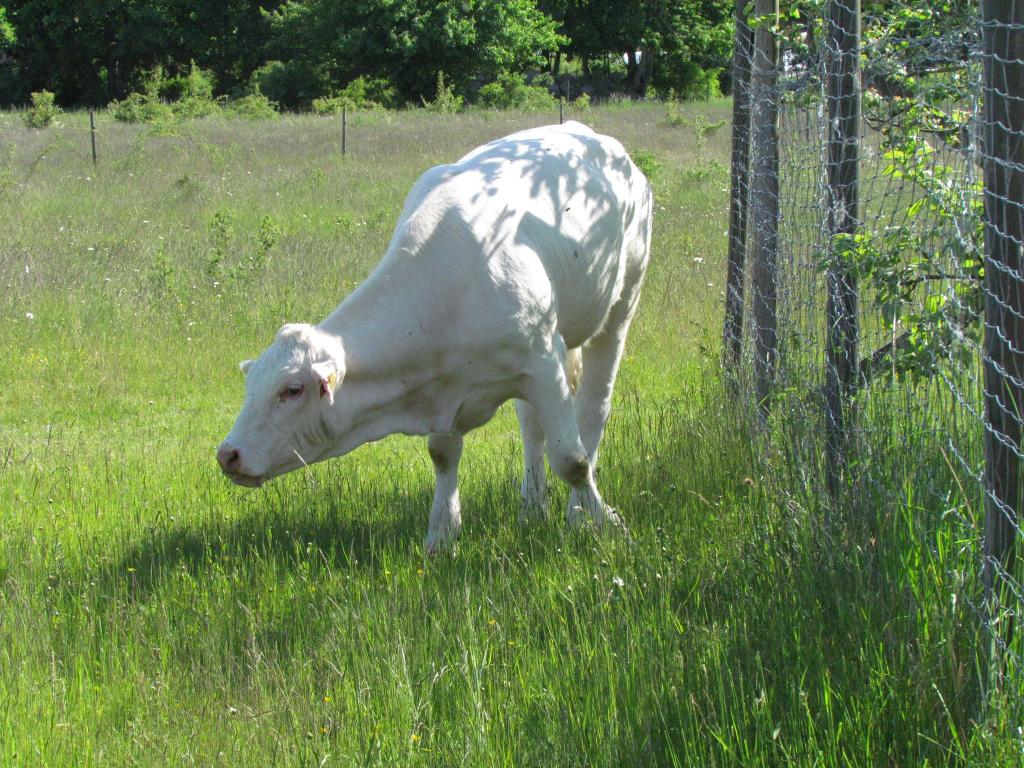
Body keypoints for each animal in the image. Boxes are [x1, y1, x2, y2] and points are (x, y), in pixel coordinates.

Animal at [218, 121, 655, 552]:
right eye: (249, 386)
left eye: (291, 390)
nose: (228, 454)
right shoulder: (447, 378)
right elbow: (443, 454)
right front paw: (442, 536)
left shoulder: (542, 361)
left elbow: (571, 460)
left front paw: (608, 524)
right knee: (532, 425)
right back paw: (532, 507)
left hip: (622, 301)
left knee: (593, 410)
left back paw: (576, 512)